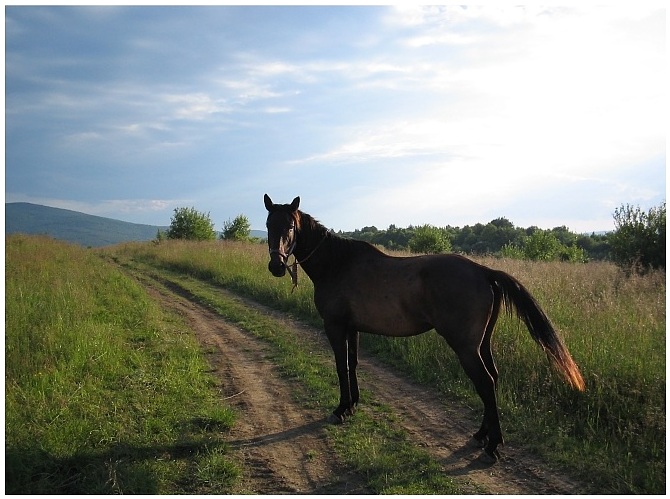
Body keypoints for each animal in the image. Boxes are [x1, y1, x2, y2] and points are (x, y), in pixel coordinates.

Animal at [266, 193, 584, 462]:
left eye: (291, 226)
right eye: (269, 224)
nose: (276, 267)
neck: (337, 264)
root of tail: (484, 272)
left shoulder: (335, 326)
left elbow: (341, 366)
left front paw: (341, 409)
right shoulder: (352, 328)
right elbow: (353, 364)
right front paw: (353, 404)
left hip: (466, 347)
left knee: (485, 382)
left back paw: (492, 445)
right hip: (481, 344)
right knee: (492, 379)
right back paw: (481, 436)